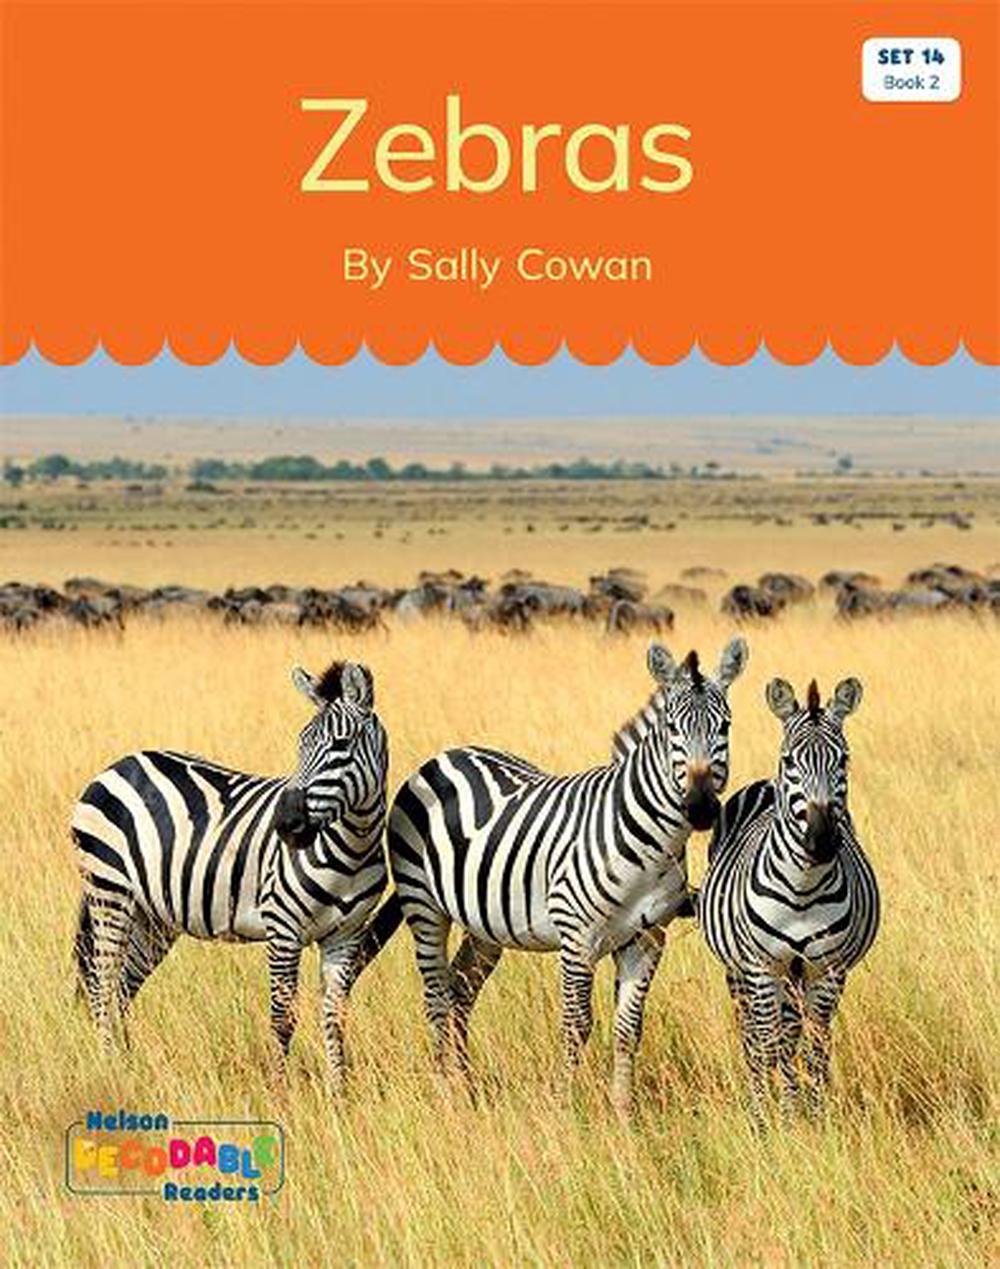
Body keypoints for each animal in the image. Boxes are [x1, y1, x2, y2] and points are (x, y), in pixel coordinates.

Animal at [72, 659, 396, 1090]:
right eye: (301, 745)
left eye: (341, 746)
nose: (287, 824)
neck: (352, 851)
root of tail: (119, 764)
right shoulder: (283, 929)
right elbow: (283, 1017)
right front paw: (279, 1091)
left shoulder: (346, 936)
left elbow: (334, 1017)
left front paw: (337, 1093)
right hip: (110, 891)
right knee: (102, 982)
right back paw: (109, 1068)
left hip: (153, 915)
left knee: (123, 987)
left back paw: (129, 1066)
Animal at [385, 637, 749, 1111]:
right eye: (672, 728)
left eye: (725, 727)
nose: (702, 807)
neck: (651, 844)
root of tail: (446, 755)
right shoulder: (577, 938)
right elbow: (576, 1026)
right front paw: (563, 1108)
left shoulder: (648, 940)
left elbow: (628, 1029)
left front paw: (622, 1114)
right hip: (424, 906)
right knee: (436, 997)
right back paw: (446, 1094)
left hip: (484, 923)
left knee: (460, 988)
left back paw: (465, 1089)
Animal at [699, 676, 879, 1121]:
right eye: (790, 760)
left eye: (844, 760)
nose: (822, 840)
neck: (803, 887)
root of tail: (765, 783)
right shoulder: (762, 966)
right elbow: (767, 1044)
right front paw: (767, 1121)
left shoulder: (827, 969)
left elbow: (814, 1047)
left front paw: (812, 1119)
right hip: (741, 970)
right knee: (753, 1034)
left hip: (799, 974)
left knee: (795, 1033)